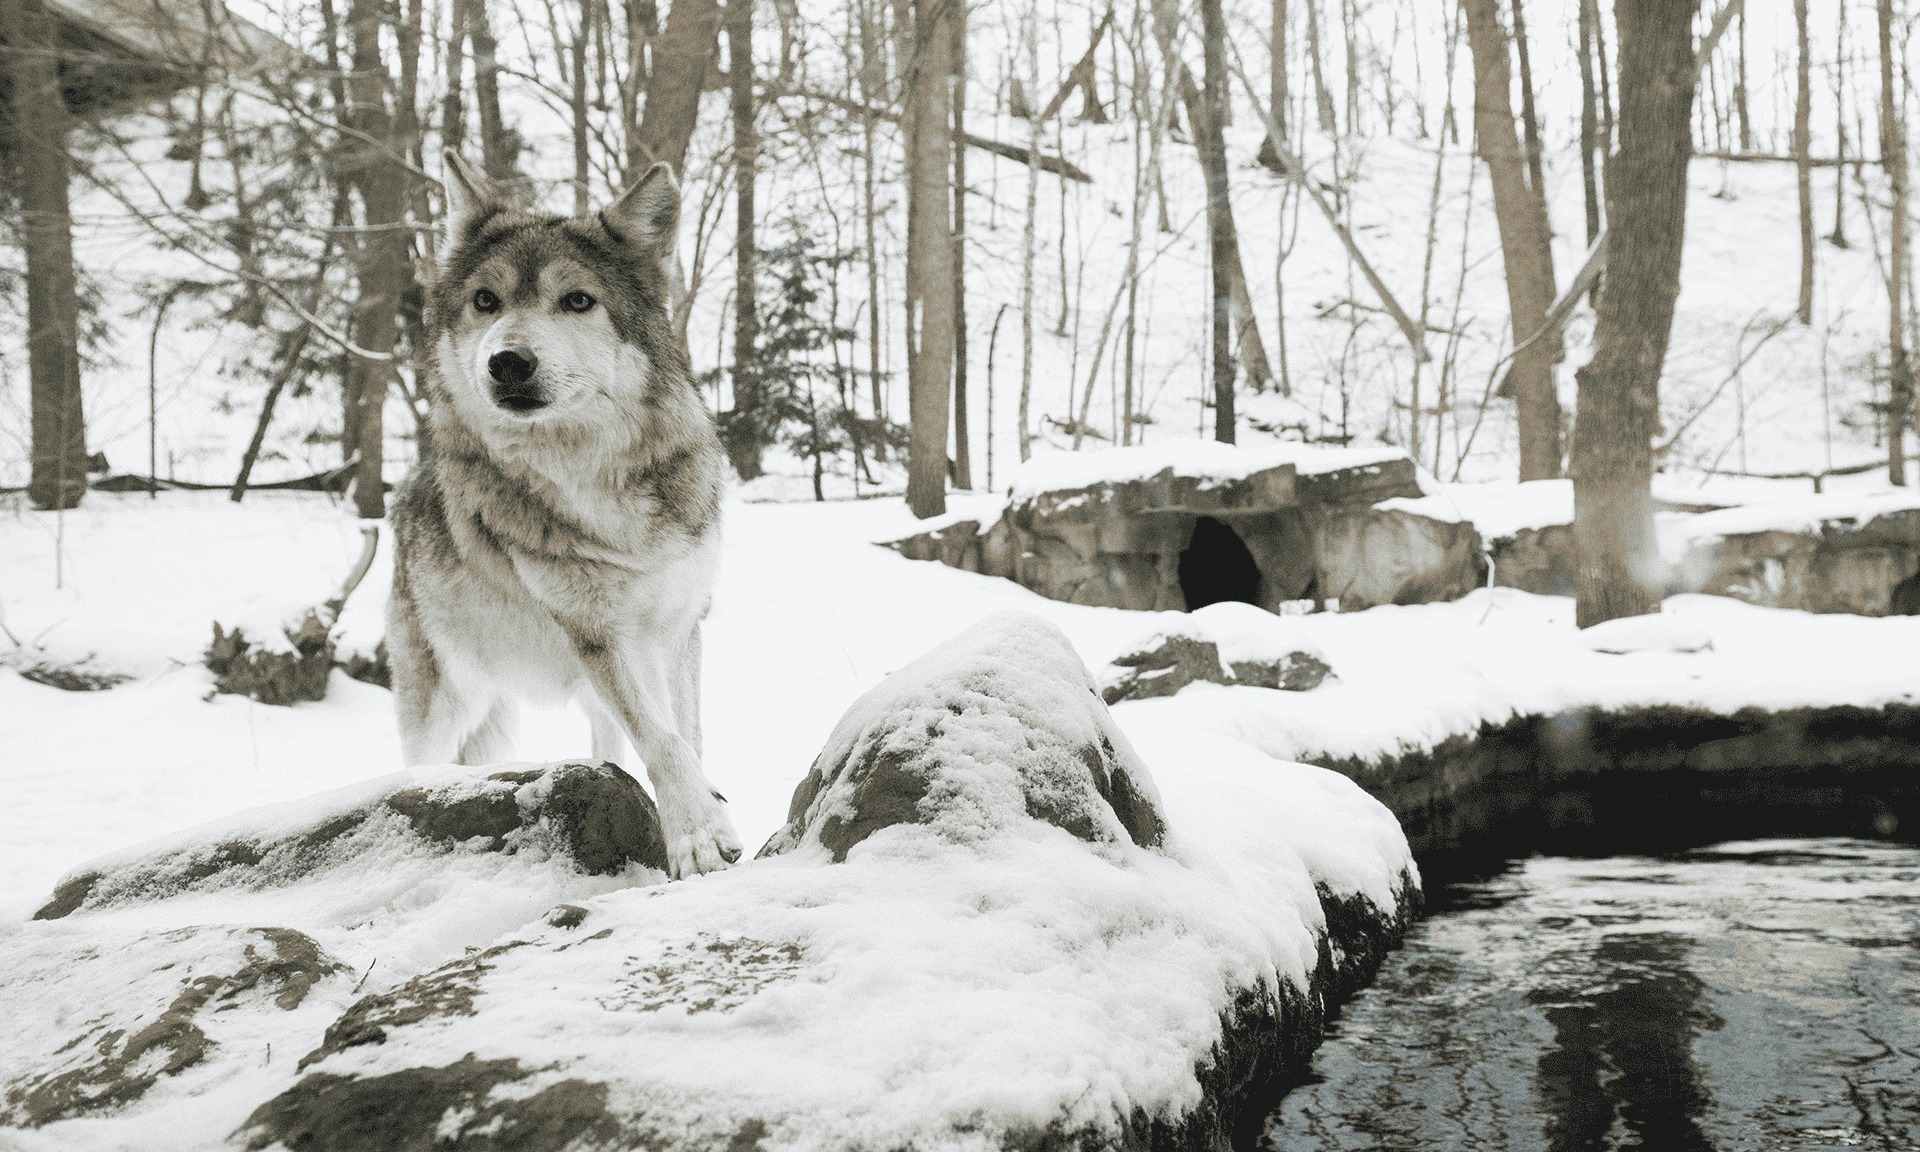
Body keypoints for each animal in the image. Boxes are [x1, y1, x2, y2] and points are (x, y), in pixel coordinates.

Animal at [386, 150, 742, 877]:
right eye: (485, 301)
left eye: (577, 300)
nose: (508, 362)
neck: (596, 481)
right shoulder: (598, 634)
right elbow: (663, 738)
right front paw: (698, 836)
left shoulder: (678, 628)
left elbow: (685, 733)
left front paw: (704, 816)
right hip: (448, 697)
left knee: (608, 747)